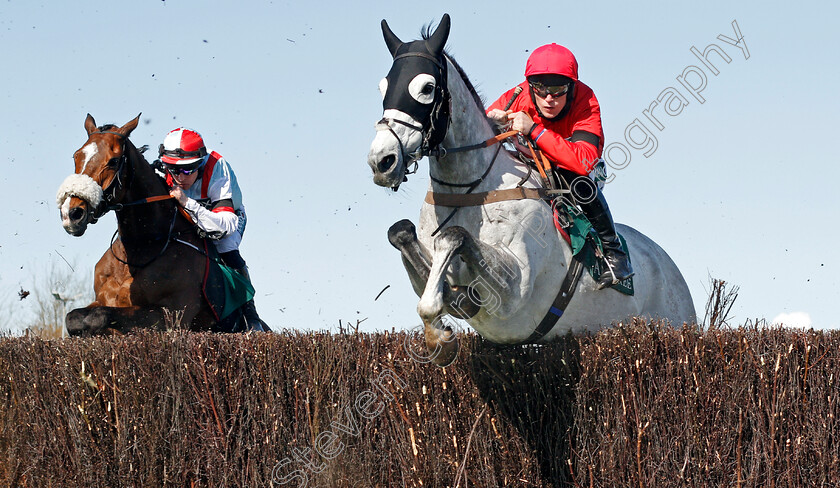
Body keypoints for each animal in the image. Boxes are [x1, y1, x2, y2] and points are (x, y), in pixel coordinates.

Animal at [56, 114, 220, 336]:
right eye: (76, 156)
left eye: (113, 161)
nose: (71, 213)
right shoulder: (101, 298)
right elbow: (73, 317)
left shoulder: (173, 316)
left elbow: (100, 316)